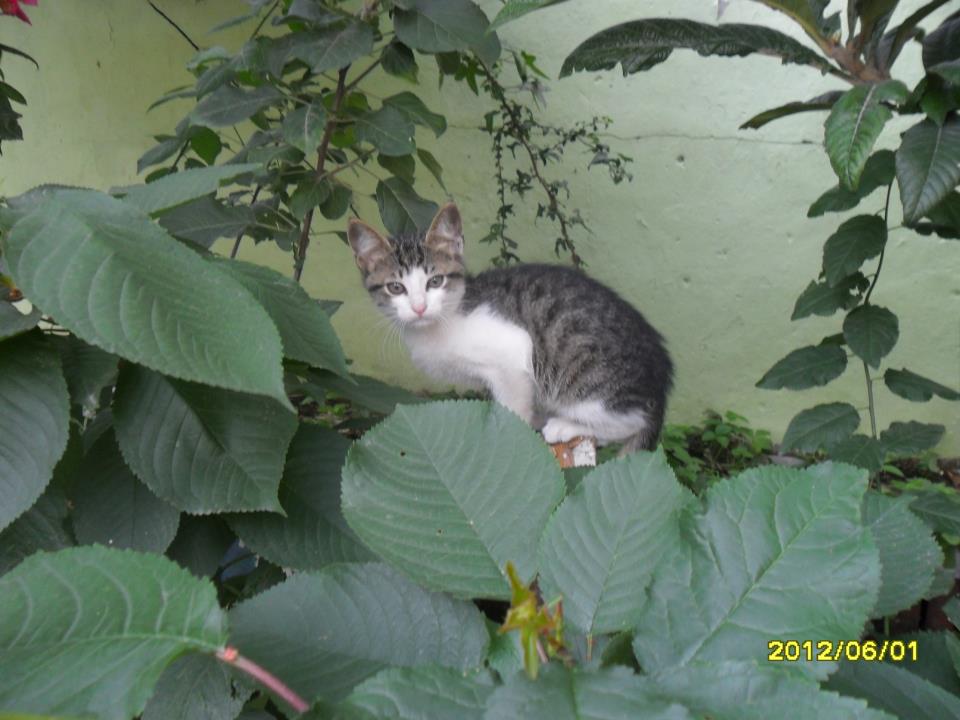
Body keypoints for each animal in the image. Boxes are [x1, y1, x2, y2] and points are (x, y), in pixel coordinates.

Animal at [347, 203, 673, 452]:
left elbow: (513, 408)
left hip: (588, 382)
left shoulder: (515, 353)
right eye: (395, 287)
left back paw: (564, 425)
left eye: (435, 281)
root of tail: (661, 380)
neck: (446, 319)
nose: (419, 307)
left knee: (631, 421)